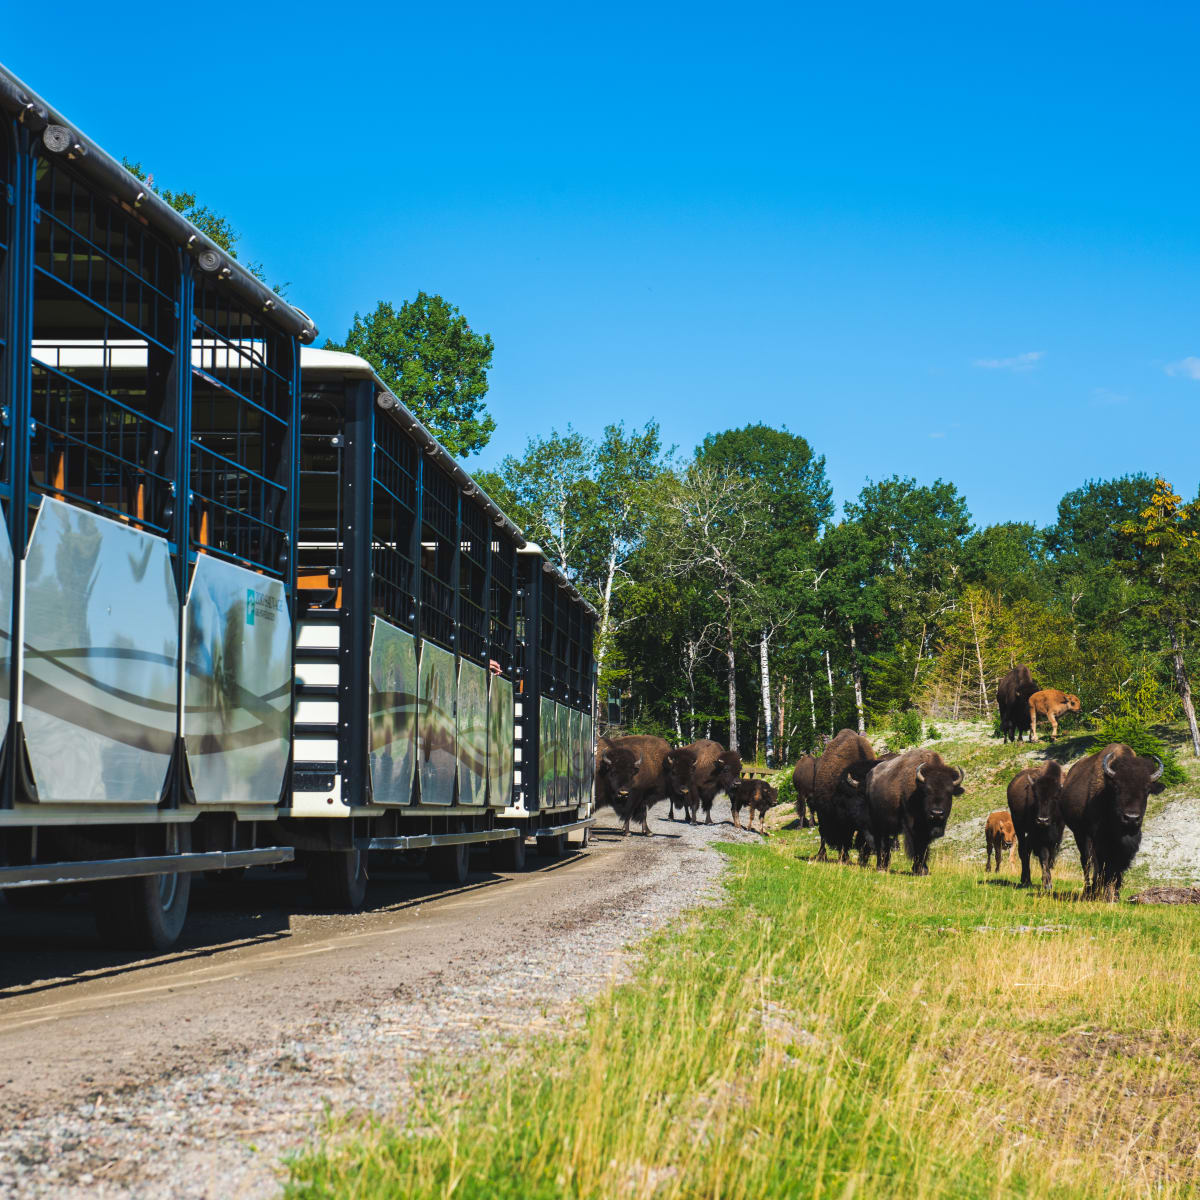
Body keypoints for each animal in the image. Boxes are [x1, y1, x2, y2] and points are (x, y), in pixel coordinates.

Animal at [1006, 760, 1065, 891]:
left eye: (1055, 797)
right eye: (1036, 796)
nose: (1042, 820)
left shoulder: (1058, 833)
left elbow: (1051, 856)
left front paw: (1047, 882)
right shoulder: (1040, 837)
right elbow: (1044, 856)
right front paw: (1047, 884)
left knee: (1027, 850)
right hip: (1018, 825)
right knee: (1023, 850)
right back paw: (1026, 880)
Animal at [1061, 743, 1164, 900]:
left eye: (1147, 790)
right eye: (1117, 787)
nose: (1131, 818)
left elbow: (1116, 867)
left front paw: (1114, 894)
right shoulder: (1092, 837)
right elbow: (1097, 864)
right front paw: (1098, 892)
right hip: (1079, 833)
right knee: (1085, 862)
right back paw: (1088, 890)